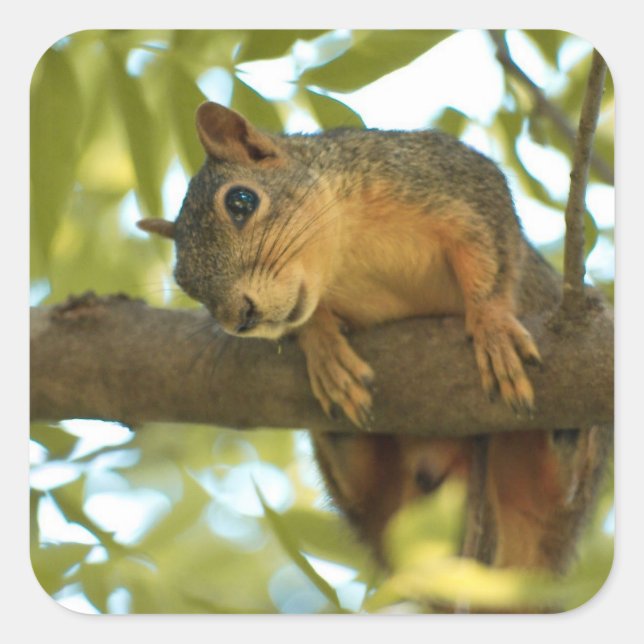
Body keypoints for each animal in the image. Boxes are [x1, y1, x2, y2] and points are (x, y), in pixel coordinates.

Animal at [138, 101, 609, 582]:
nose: (240, 318)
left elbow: (489, 253)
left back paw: (567, 434)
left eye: (241, 201)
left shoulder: (450, 179)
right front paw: (323, 345)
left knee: (561, 485)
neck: (344, 255)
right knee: (365, 485)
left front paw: (492, 325)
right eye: (185, 282)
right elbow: (308, 320)